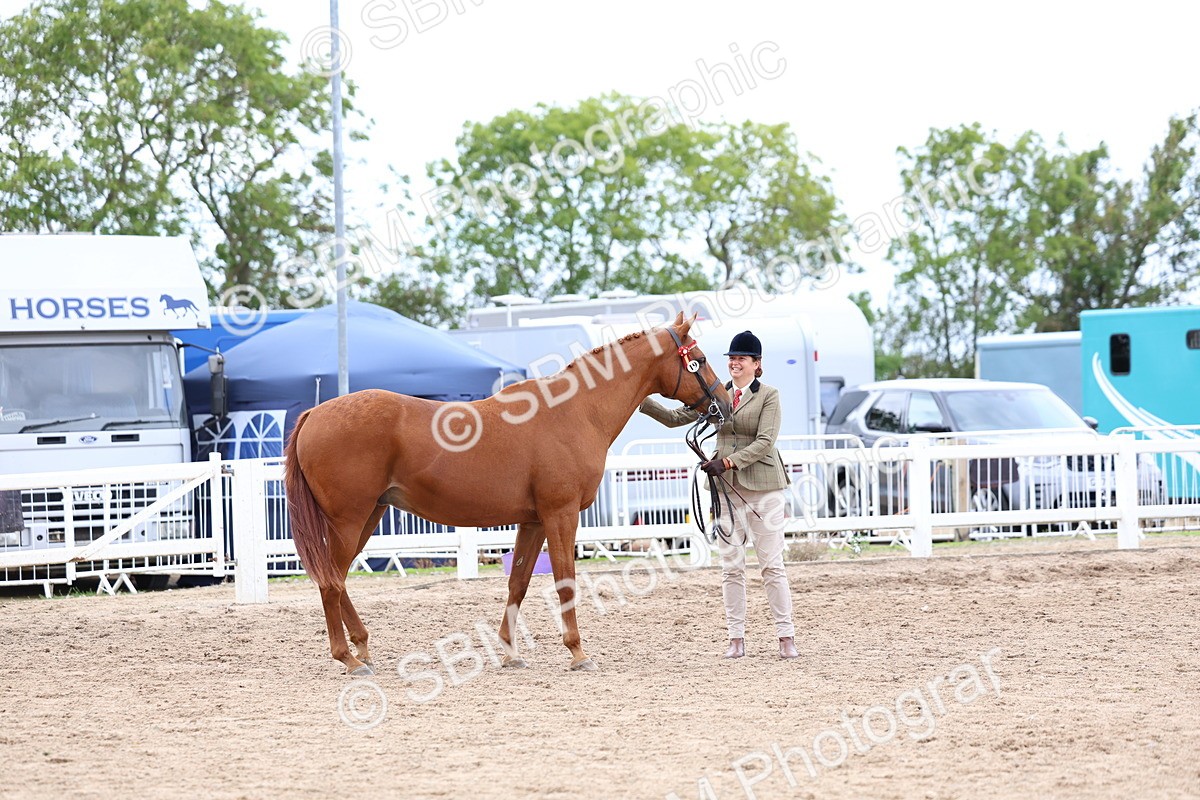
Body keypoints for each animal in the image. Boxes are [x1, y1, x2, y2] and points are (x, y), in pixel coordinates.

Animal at [283, 312, 730, 675]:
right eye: (700, 359)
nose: (724, 404)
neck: (575, 412)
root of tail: (315, 413)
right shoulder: (561, 514)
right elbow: (565, 581)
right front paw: (577, 653)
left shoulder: (533, 521)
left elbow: (519, 583)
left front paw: (511, 653)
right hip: (349, 518)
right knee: (331, 583)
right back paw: (348, 658)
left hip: (369, 515)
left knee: (337, 579)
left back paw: (362, 646)